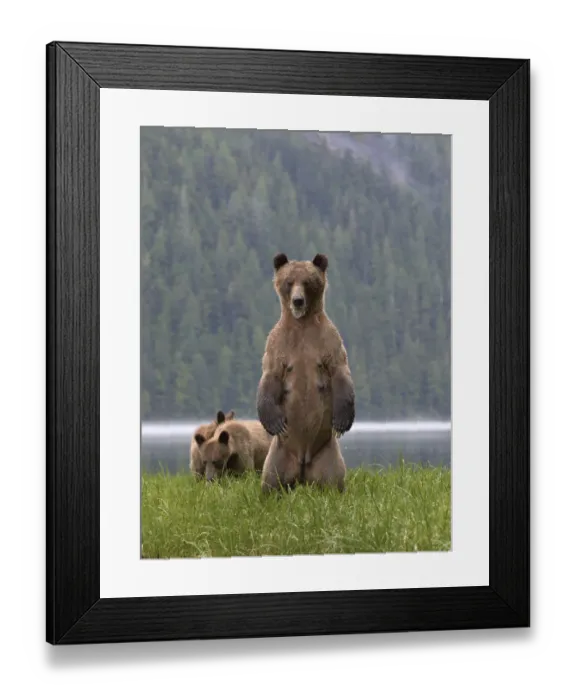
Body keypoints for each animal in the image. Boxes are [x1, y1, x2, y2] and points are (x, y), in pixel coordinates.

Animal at [256, 253, 355, 493]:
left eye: (308, 282)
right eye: (289, 281)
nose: (298, 301)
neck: (301, 324)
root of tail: (302, 466)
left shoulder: (328, 341)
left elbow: (340, 372)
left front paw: (342, 420)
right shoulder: (278, 345)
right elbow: (269, 377)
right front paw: (273, 422)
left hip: (328, 454)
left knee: (334, 478)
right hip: (278, 454)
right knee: (271, 479)